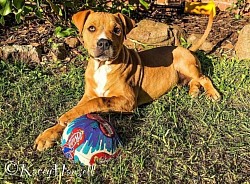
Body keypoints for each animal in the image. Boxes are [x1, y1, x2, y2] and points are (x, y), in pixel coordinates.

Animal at [34, 9, 220, 151]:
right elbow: (81, 107)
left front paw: (66, 116)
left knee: (203, 77)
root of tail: (187, 48)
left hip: (183, 63)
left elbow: (99, 101)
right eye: (91, 28)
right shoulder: (88, 96)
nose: (103, 43)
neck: (102, 67)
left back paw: (212, 93)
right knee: (195, 79)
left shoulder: (127, 101)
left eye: (117, 30)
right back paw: (194, 90)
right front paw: (48, 134)